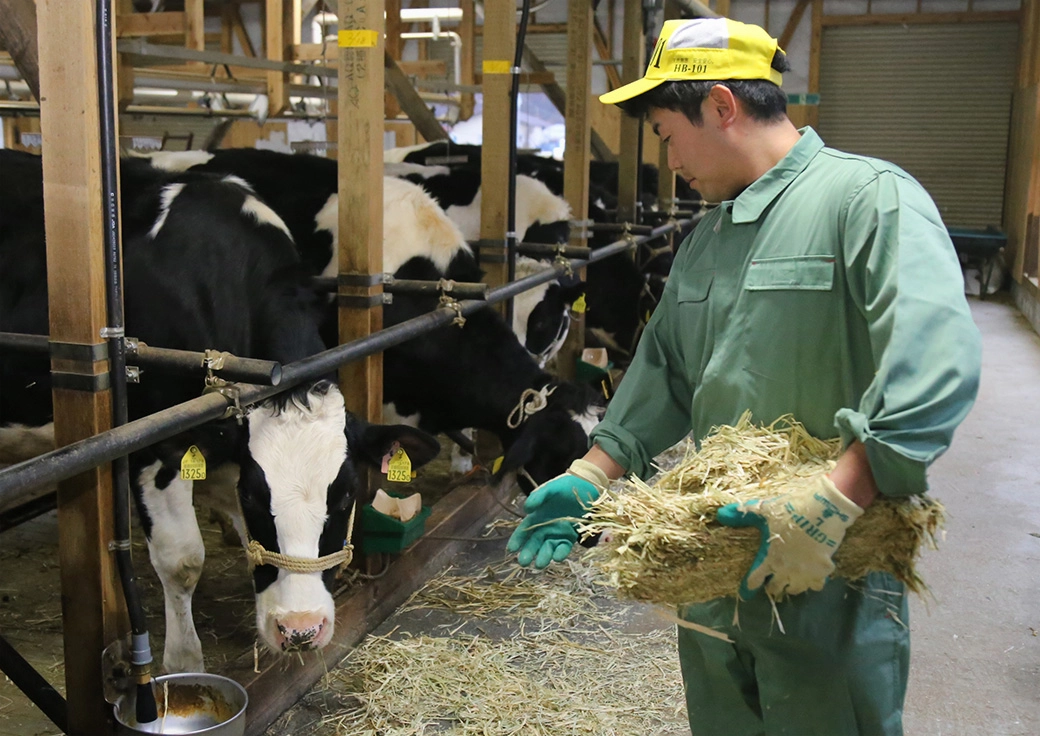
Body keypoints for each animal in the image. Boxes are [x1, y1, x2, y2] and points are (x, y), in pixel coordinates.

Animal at [1, 152, 438, 673]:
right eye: (254, 496)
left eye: (346, 494)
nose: (301, 629)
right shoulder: (153, 444)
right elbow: (183, 559)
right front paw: (184, 665)